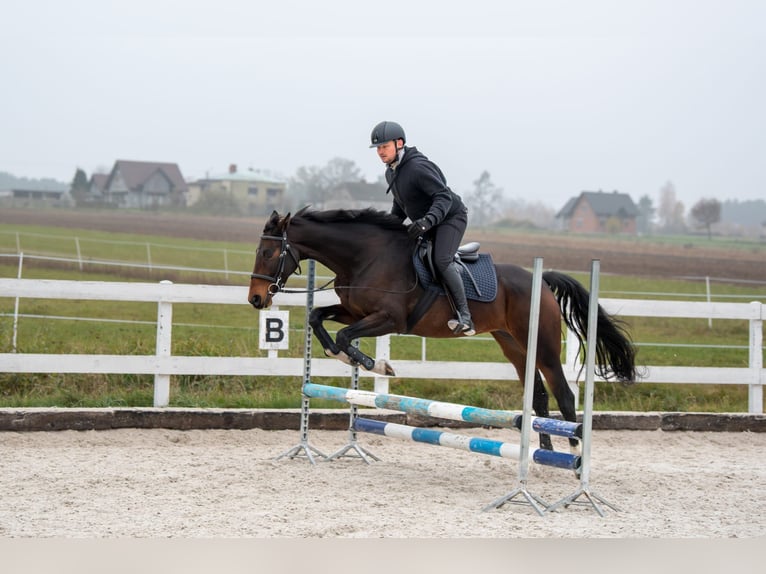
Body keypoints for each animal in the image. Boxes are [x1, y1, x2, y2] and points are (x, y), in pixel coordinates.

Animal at [249, 208, 640, 454]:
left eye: (268, 252)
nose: (256, 299)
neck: (364, 257)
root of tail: (541, 280)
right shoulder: (353, 311)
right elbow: (317, 317)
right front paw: (345, 357)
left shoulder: (388, 318)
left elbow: (346, 337)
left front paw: (374, 363)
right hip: (514, 345)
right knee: (540, 395)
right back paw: (541, 452)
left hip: (541, 345)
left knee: (564, 394)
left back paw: (572, 453)